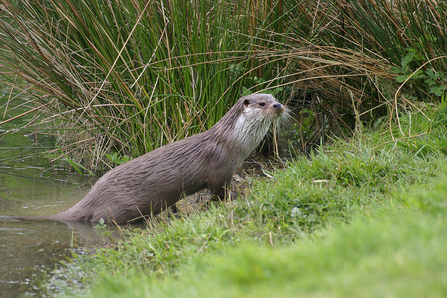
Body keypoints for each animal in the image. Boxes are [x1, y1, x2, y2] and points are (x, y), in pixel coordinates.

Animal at [16, 93, 288, 224]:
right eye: (262, 103)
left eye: (275, 98)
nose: (278, 106)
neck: (233, 143)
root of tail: (92, 195)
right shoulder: (220, 169)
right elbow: (219, 190)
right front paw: (236, 196)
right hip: (119, 208)